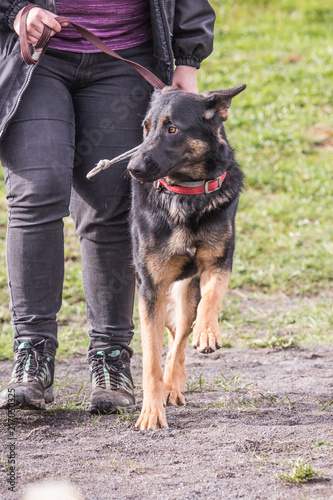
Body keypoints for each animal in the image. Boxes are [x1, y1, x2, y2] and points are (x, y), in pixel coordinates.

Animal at [126, 85, 245, 430]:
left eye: (173, 129)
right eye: (146, 127)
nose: (132, 168)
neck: (187, 195)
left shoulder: (218, 263)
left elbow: (211, 298)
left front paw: (208, 332)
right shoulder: (150, 288)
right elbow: (151, 358)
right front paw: (151, 412)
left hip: (185, 291)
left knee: (180, 335)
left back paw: (174, 383)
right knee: (169, 333)